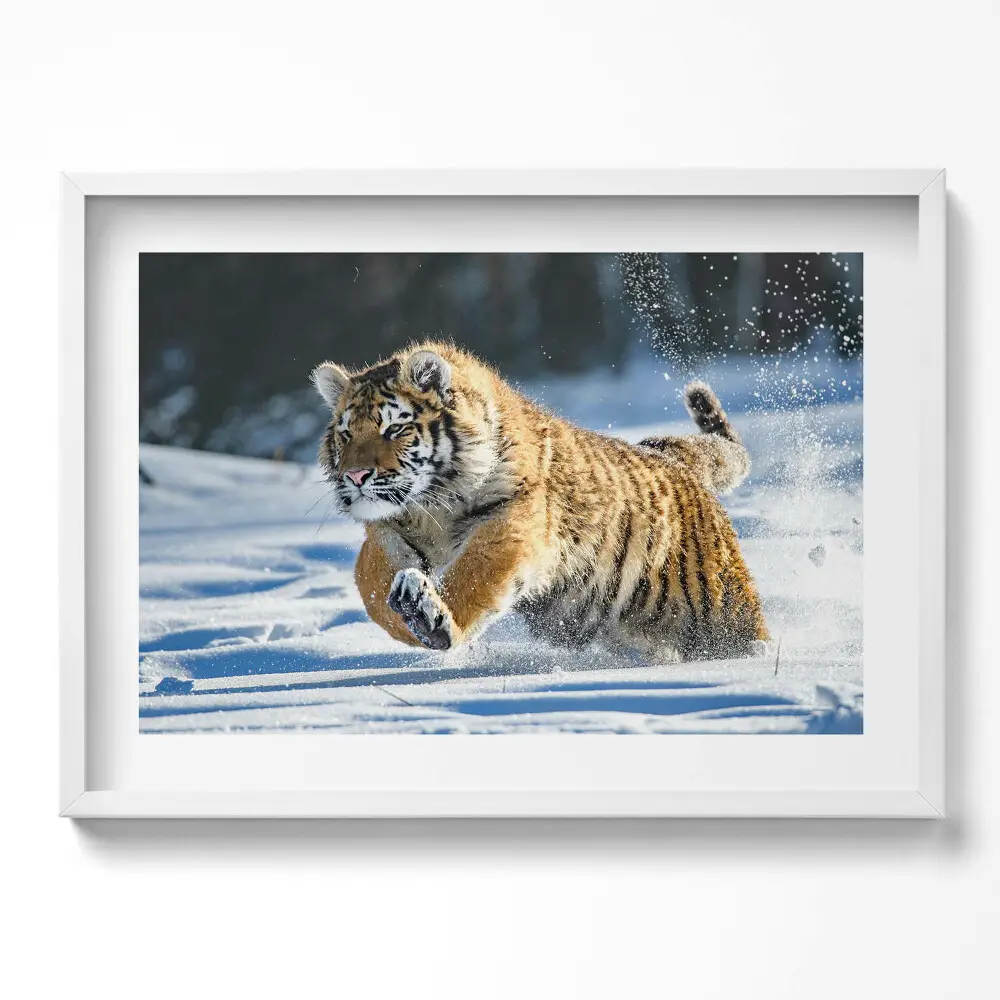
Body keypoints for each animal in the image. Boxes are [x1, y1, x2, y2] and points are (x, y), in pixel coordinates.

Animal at [311, 341, 769, 662]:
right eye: (346, 434)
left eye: (395, 429)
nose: (355, 476)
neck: (432, 505)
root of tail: (672, 458)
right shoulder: (388, 530)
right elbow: (371, 585)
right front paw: (407, 615)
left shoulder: (513, 520)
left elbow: (473, 574)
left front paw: (433, 619)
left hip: (721, 607)